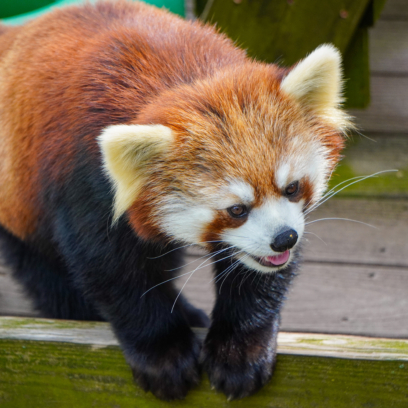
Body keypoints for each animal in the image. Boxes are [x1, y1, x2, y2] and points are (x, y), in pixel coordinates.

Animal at [0, 0, 350, 402]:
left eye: (291, 188)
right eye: (236, 210)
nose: (284, 238)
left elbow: (257, 273)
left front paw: (240, 350)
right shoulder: (84, 181)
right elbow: (113, 272)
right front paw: (163, 354)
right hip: (19, 206)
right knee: (48, 276)